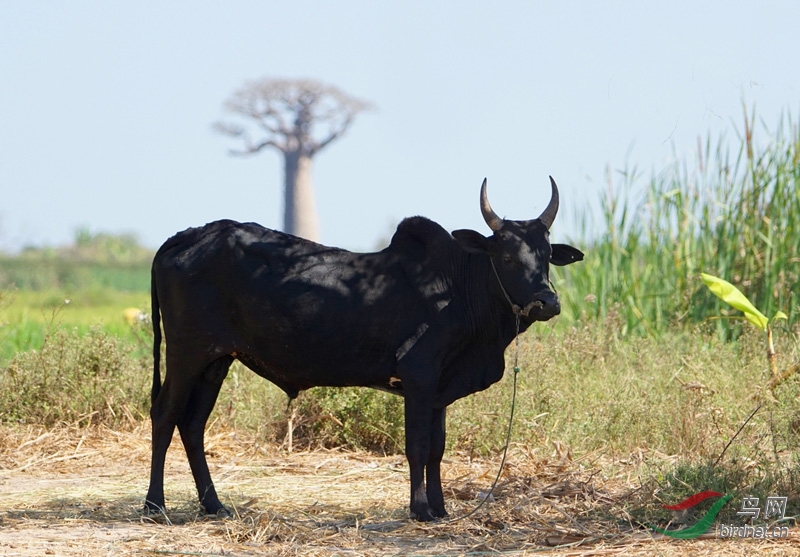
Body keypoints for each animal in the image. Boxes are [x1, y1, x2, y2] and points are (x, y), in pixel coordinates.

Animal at [144, 176, 580, 520]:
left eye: (546, 255)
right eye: (506, 255)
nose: (547, 302)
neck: (458, 287)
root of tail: (183, 237)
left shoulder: (440, 389)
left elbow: (437, 449)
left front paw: (440, 508)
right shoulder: (419, 376)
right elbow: (418, 446)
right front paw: (420, 510)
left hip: (216, 362)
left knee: (193, 425)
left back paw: (214, 505)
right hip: (186, 354)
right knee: (166, 415)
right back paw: (155, 504)